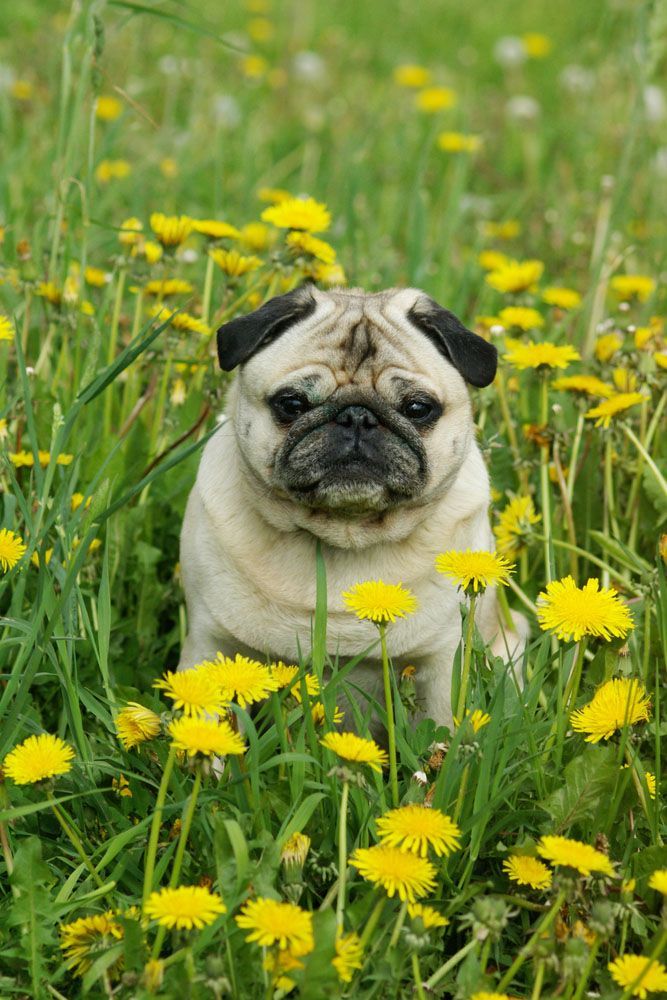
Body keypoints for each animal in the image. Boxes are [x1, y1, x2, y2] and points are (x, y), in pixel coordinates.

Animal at [176, 286, 528, 724]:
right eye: (292, 404)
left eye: (417, 408)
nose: (357, 416)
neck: (344, 535)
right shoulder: (210, 646)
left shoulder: (445, 664)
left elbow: (443, 731)